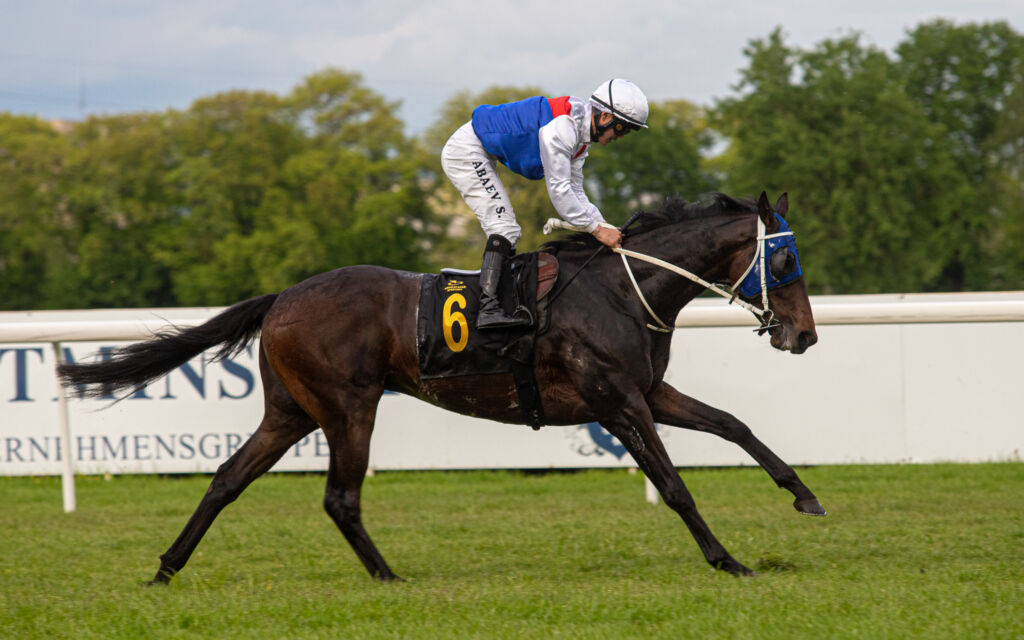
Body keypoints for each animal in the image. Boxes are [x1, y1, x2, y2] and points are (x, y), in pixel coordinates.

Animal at [58, 191, 824, 583]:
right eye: (784, 258)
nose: (805, 335)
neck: (621, 289)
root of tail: (281, 298)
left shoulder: (647, 392)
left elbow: (734, 426)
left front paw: (804, 496)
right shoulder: (618, 401)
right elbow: (673, 484)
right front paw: (726, 559)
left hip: (289, 413)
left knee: (226, 479)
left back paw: (166, 567)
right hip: (348, 405)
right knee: (340, 497)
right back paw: (387, 576)